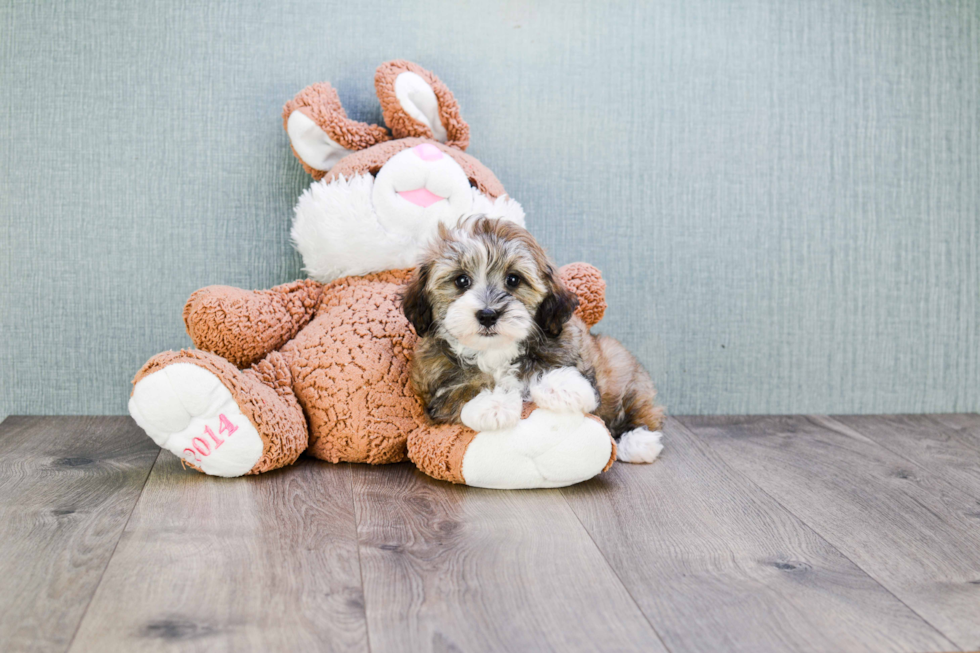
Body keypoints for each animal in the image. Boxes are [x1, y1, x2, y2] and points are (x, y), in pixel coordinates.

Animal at [400, 216, 668, 460]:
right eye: (461, 280)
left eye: (513, 279)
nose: (488, 314)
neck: (495, 351)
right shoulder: (432, 385)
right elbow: (457, 390)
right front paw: (493, 404)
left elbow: (560, 370)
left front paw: (563, 386)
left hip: (622, 367)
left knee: (642, 407)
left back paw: (638, 441)